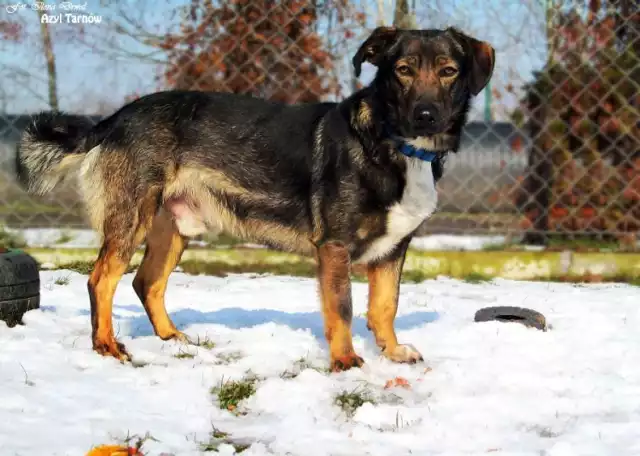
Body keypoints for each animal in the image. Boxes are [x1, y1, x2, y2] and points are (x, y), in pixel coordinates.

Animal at [16, 26, 496, 372]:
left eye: (449, 71)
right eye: (403, 70)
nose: (426, 115)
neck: (393, 142)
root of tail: (116, 117)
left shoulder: (393, 249)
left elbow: (385, 306)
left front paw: (392, 352)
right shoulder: (335, 247)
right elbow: (342, 309)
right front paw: (345, 363)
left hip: (173, 227)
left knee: (145, 283)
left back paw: (171, 339)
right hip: (132, 218)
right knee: (102, 280)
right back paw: (106, 347)